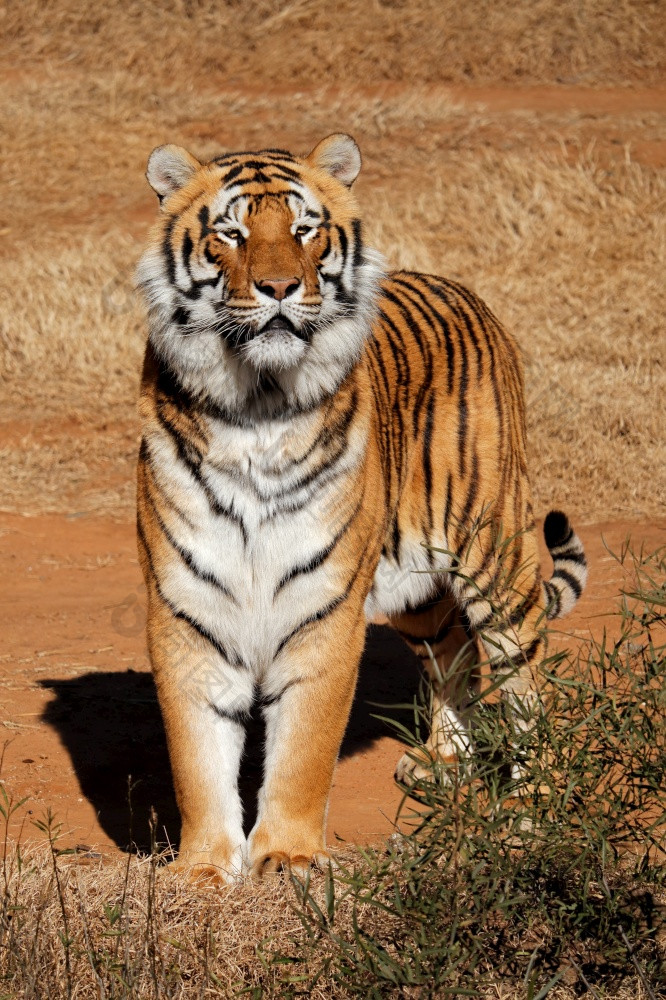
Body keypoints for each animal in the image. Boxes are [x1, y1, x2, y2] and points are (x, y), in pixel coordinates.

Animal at [136, 135, 588, 884]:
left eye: (303, 230)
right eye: (230, 234)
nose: (280, 288)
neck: (256, 404)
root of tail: (465, 291)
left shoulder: (324, 607)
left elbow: (304, 749)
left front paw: (288, 857)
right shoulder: (186, 606)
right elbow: (195, 754)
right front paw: (203, 869)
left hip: (495, 553)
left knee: (526, 678)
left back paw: (536, 804)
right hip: (417, 592)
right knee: (457, 655)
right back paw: (443, 763)